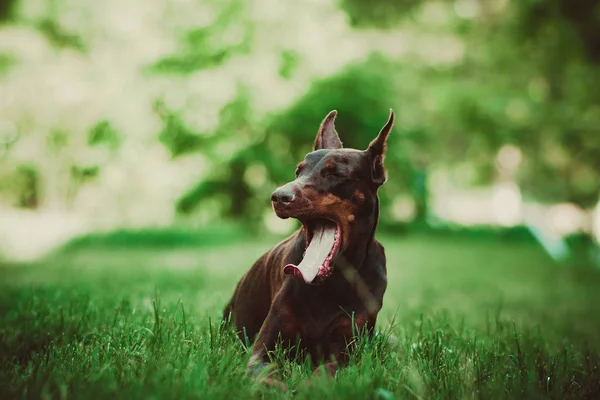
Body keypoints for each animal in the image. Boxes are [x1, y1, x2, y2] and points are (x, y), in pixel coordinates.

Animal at [223, 109, 396, 390]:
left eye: (334, 173)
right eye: (298, 171)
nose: (279, 196)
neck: (332, 282)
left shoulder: (348, 348)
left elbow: (327, 371)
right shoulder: (264, 345)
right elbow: (263, 370)